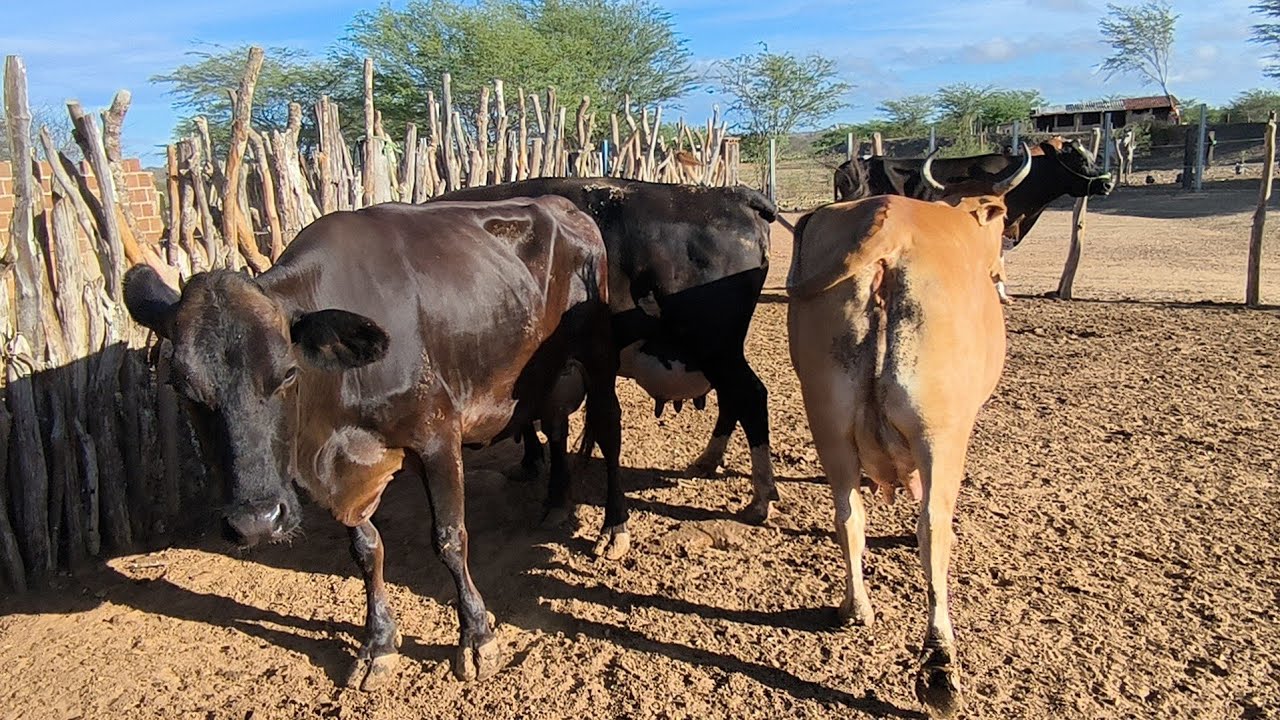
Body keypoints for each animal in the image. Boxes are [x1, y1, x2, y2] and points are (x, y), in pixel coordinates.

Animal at [122, 197, 622, 690]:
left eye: (287, 373)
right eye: (181, 386)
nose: (256, 521)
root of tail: (565, 205)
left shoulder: (438, 434)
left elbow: (450, 539)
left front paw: (477, 636)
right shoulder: (337, 478)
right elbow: (365, 550)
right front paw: (378, 643)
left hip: (598, 358)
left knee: (609, 431)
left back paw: (613, 528)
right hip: (546, 374)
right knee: (556, 427)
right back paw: (556, 502)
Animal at [435, 178, 779, 525]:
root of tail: (732, 195)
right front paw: (532, 461)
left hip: (716, 349)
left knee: (750, 397)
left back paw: (760, 498)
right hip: (719, 355)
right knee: (733, 399)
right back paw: (709, 459)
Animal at [787, 152, 1032, 717]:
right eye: (1002, 220)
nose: (1000, 272)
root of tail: (891, 228)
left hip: (828, 421)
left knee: (848, 516)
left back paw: (855, 606)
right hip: (939, 432)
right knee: (933, 531)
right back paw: (940, 666)